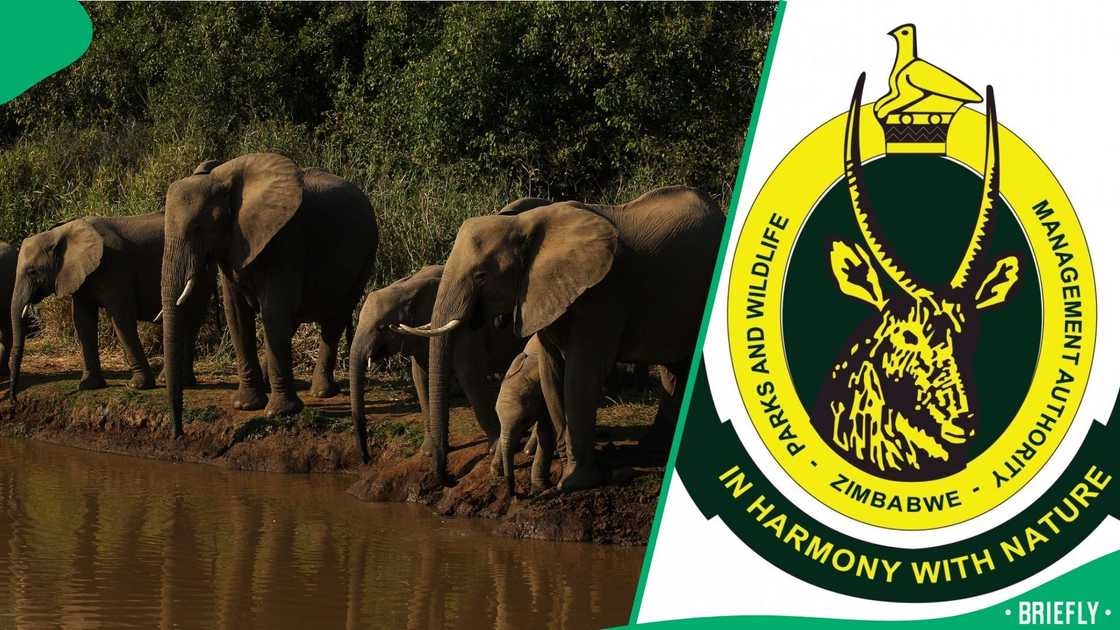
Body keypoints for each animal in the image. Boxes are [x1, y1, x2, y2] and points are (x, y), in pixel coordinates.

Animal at [8, 213, 214, 409]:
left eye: (32, 272)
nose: (14, 400)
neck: (60, 233)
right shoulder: (82, 276)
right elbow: (82, 321)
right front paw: (88, 386)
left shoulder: (114, 267)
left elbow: (121, 318)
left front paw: (137, 386)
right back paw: (178, 381)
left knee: (190, 319)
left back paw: (172, 380)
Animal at [160, 153, 378, 438]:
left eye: (198, 228)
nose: (178, 434)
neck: (222, 178)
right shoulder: (232, 246)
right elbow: (236, 314)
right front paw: (246, 405)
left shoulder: (286, 239)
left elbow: (273, 312)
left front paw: (280, 412)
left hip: (365, 256)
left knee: (335, 318)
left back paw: (321, 392)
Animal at [347, 264, 525, 464]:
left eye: (381, 327)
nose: (366, 459)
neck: (405, 287)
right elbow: (421, 379)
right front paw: (428, 452)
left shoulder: (468, 330)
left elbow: (469, 375)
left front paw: (494, 449)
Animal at [398, 186, 722, 489]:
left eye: (481, 276)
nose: (449, 479)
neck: (524, 224)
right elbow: (551, 372)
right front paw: (564, 468)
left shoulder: (601, 294)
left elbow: (581, 375)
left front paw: (575, 482)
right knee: (673, 370)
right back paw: (651, 448)